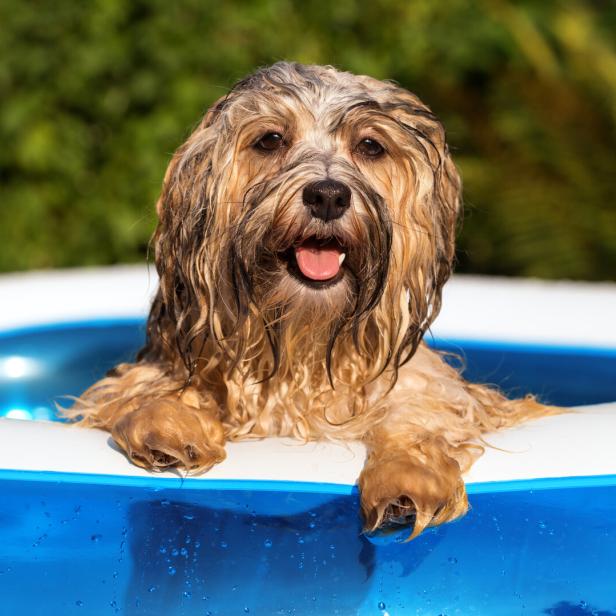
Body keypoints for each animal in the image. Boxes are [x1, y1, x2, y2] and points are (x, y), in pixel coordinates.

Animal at [68, 62, 552, 540]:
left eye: (370, 145)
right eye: (270, 139)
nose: (328, 195)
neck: (302, 339)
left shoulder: (428, 388)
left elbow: (419, 413)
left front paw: (408, 478)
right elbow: (141, 391)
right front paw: (166, 424)